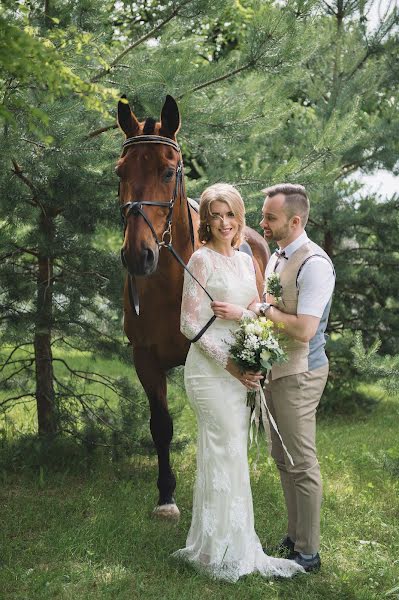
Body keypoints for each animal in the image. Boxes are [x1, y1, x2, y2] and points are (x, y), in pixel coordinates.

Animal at [116, 96, 272, 516]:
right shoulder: (145, 358)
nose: (138, 256)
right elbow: (161, 426)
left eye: (169, 171)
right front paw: (166, 495)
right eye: (120, 172)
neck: (172, 282)